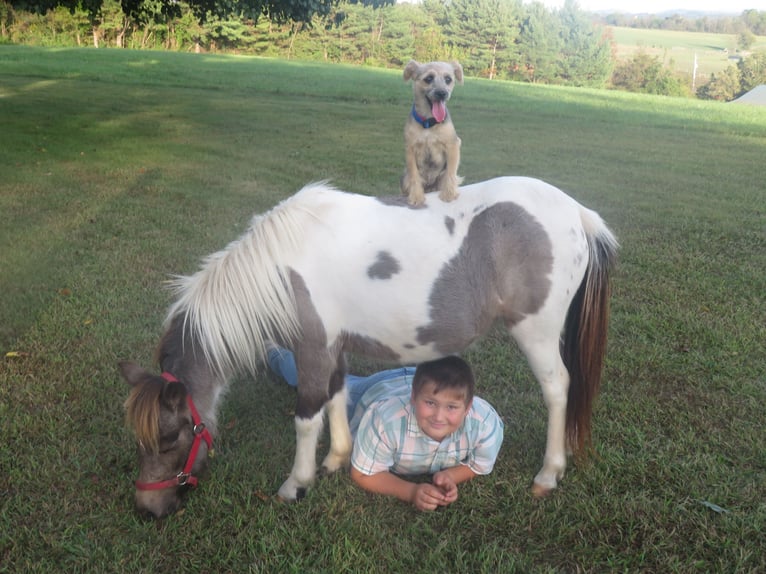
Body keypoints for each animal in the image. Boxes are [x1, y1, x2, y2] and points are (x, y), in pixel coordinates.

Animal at [121, 176, 618, 518]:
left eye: (170, 437)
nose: (148, 510)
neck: (281, 268)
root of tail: (576, 212)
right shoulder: (333, 346)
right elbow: (337, 395)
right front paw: (335, 459)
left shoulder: (312, 349)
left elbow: (307, 415)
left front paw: (296, 483)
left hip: (536, 334)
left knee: (558, 390)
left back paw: (549, 473)